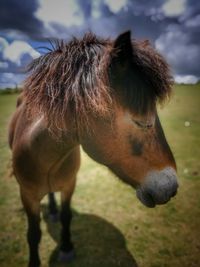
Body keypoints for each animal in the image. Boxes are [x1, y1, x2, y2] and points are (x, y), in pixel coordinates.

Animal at [8, 30, 179, 266]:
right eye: (141, 121)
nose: (172, 187)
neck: (44, 154)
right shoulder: (27, 195)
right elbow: (33, 234)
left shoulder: (69, 185)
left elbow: (66, 216)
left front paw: (66, 248)